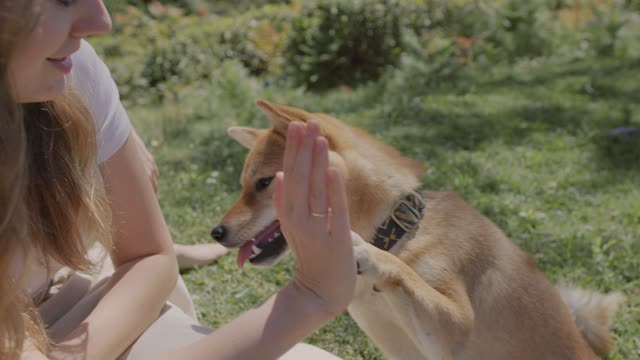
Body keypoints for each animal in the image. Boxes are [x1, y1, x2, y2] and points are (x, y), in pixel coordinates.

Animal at [212, 99, 624, 360]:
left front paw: (364, 252)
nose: (216, 232)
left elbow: (405, 273)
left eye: (264, 184)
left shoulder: (456, 326)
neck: (398, 233)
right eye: (243, 184)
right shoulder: (403, 345)